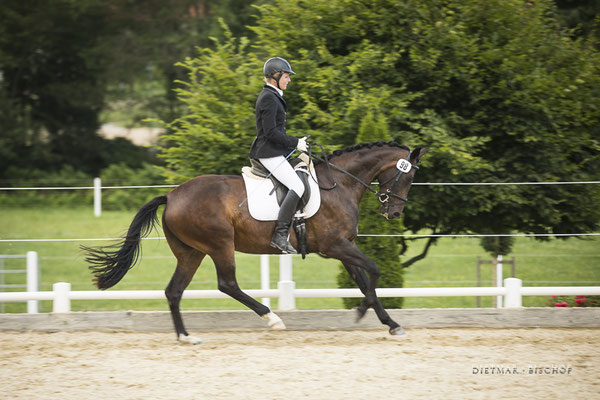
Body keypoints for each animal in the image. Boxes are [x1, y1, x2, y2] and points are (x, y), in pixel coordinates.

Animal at [83, 141, 426, 344]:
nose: (394, 212)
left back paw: (185, 336)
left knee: (174, 291)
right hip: (220, 245)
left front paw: (391, 323)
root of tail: (171, 195)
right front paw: (361, 311)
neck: (339, 183)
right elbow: (374, 270)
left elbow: (363, 279)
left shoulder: (344, 248)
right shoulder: (336, 247)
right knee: (227, 284)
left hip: (190, 253)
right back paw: (272, 318)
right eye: (408, 178)